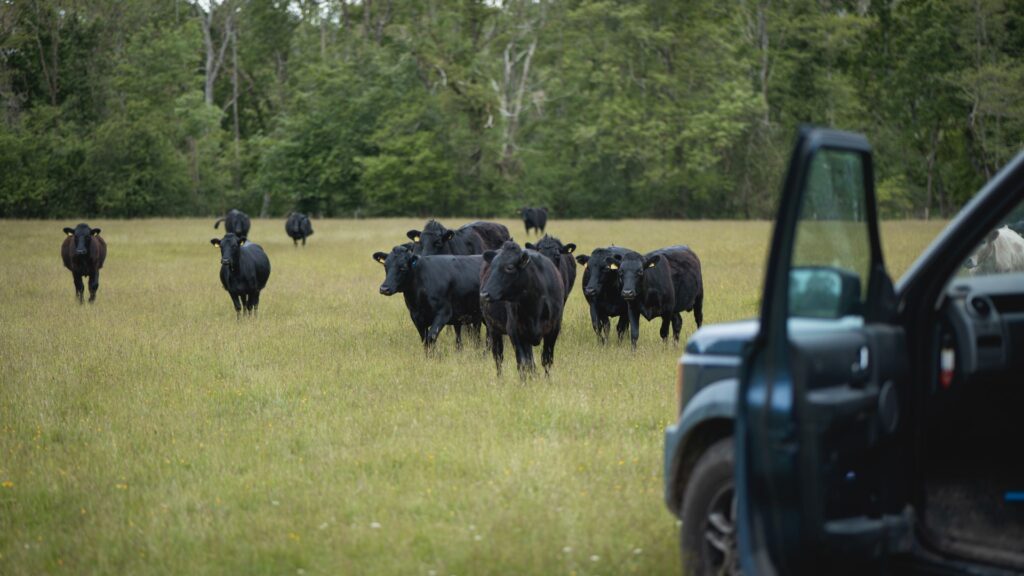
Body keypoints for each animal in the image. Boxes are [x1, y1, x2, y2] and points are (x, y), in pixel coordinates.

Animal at [479, 241, 564, 377]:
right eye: (492, 267)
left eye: (509, 267)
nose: (484, 294)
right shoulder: (515, 331)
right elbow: (523, 363)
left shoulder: (554, 329)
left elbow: (546, 360)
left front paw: (547, 379)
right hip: (493, 328)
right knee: (498, 357)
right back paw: (500, 378)